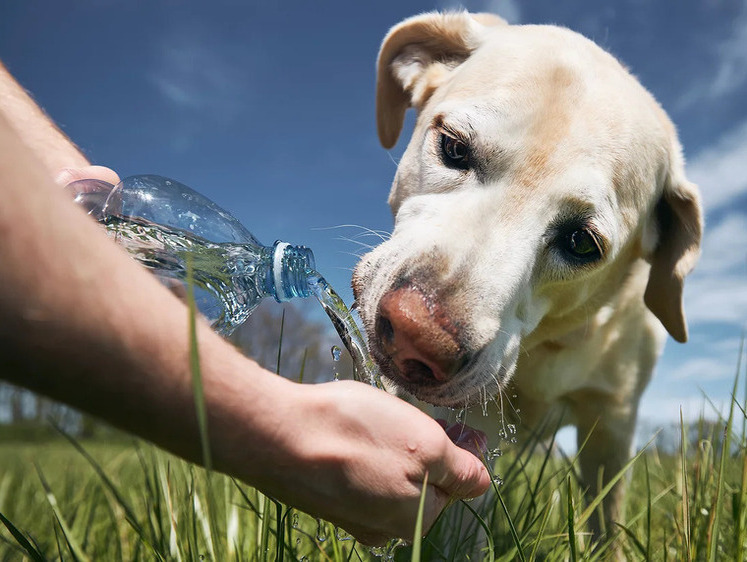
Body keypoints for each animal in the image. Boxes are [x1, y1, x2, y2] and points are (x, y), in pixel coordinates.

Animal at [354, 10, 704, 532]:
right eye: (453, 147)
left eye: (581, 242)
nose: (417, 337)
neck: (546, 346)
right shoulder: (469, 420)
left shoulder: (612, 424)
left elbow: (606, 526)